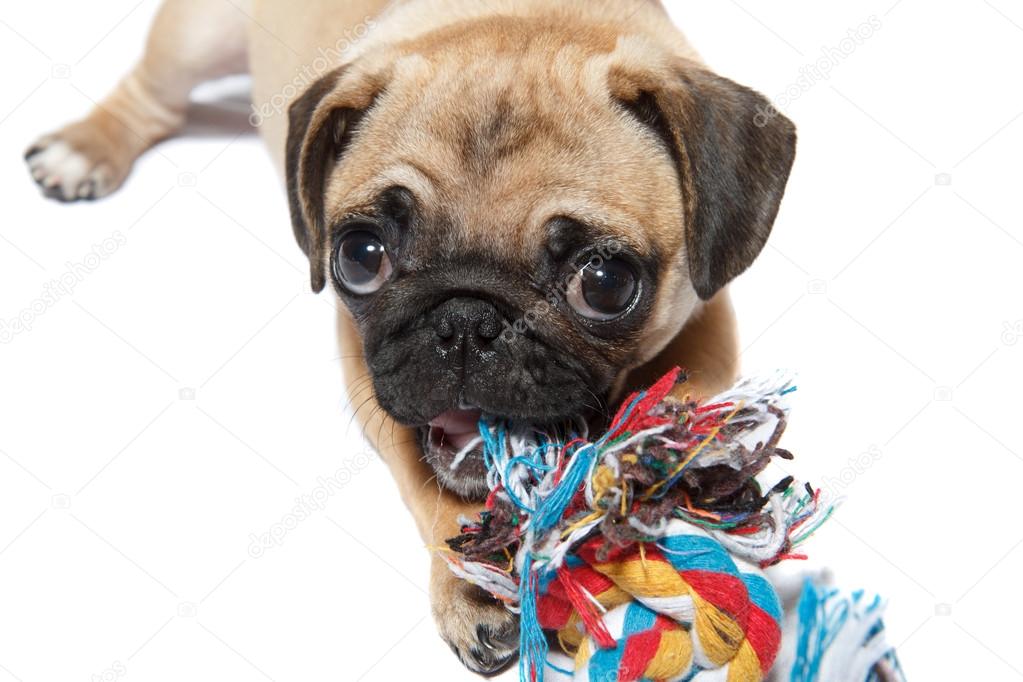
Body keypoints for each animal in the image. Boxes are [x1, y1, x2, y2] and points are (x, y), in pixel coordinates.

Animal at [21, 0, 789, 670]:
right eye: (362, 256)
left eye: (603, 283)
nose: (467, 320)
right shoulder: (367, 370)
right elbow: (440, 490)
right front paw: (474, 581)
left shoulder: (707, 316)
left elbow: (684, 401)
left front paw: (676, 472)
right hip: (196, 36)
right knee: (151, 95)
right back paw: (84, 148)